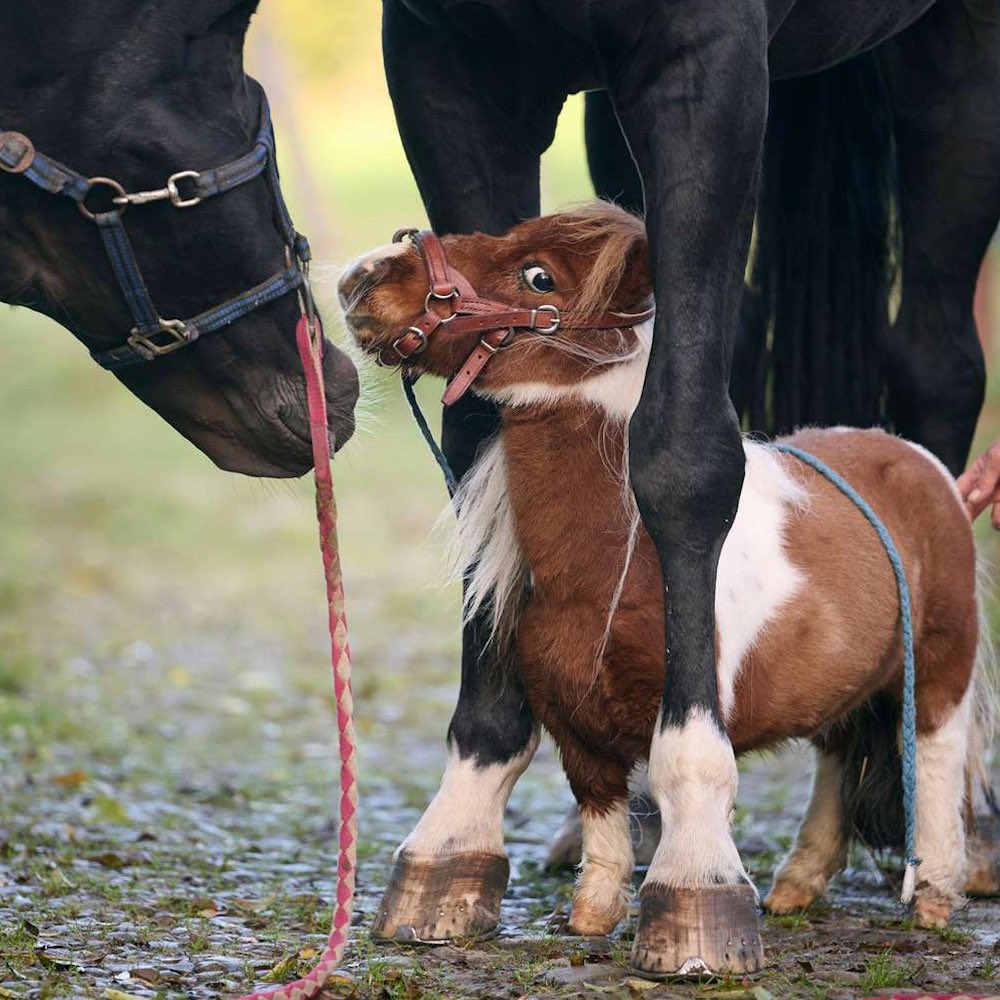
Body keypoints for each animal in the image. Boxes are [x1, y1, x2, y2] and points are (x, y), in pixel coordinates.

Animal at [379, 0, 1000, 974]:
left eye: (538, 277)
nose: (365, 279)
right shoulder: (447, 62)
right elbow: (473, 446)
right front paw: (459, 848)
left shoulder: (708, 65)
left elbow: (685, 448)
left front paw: (696, 873)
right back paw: (800, 870)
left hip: (956, 66)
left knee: (938, 365)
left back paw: (945, 860)